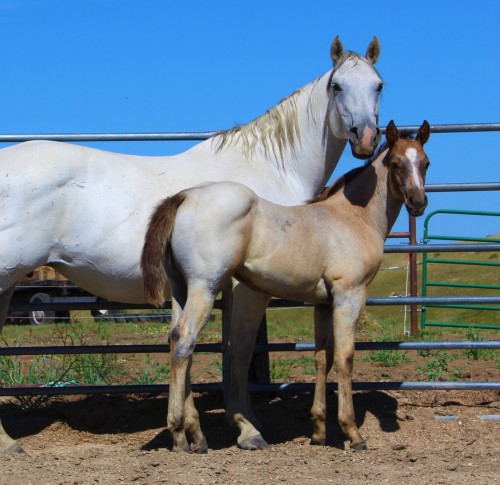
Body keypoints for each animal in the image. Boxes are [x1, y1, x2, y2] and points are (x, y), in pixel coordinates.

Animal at [0, 35, 382, 450]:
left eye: (378, 85)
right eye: (336, 86)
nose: (365, 138)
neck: (270, 170)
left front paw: (194, 428)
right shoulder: (245, 289)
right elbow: (237, 351)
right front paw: (246, 428)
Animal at [143, 119, 432, 452]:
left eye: (425, 163)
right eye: (396, 163)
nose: (418, 202)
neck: (352, 217)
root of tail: (185, 197)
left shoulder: (323, 303)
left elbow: (322, 358)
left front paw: (319, 432)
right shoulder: (350, 295)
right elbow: (345, 358)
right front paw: (352, 432)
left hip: (182, 290)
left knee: (176, 339)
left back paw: (194, 434)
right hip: (205, 287)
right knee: (185, 342)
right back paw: (180, 433)